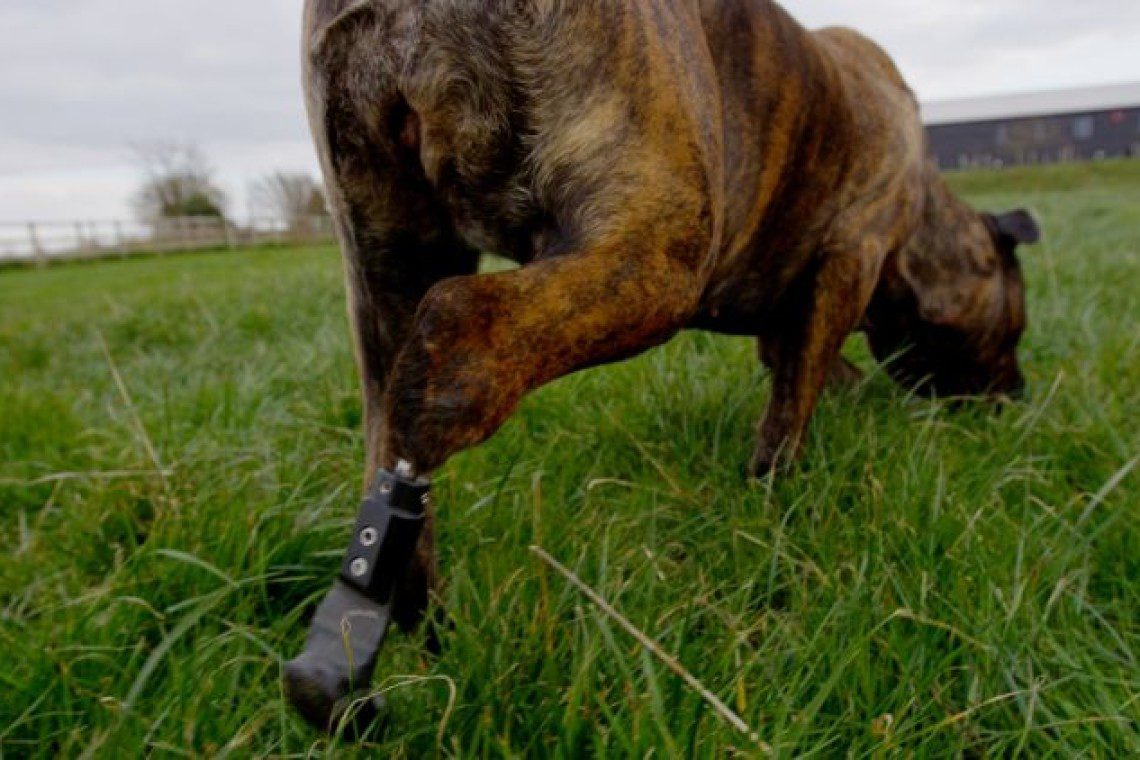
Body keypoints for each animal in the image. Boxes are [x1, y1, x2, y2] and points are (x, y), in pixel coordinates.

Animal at [289, 0, 1039, 733]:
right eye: (1016, 328)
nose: (1019, 393)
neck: (924, 218)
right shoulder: (848, 260)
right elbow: (792, 410)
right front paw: (775, 502)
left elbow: (793, 366)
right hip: (659, 255)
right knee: (456, 332)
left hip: (388, 255)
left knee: (395, 430)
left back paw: (412, 633)